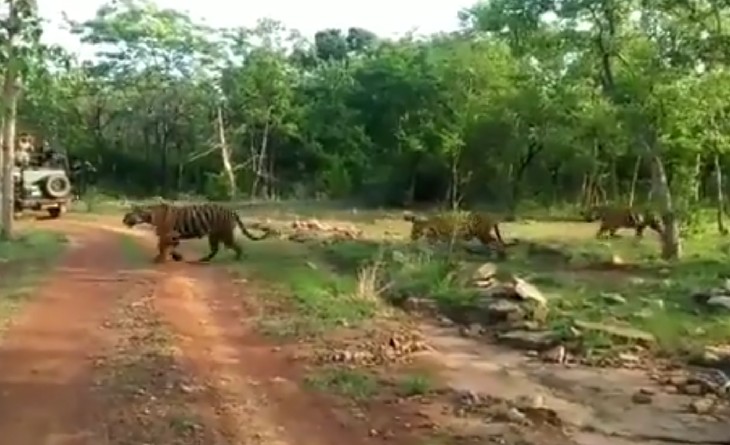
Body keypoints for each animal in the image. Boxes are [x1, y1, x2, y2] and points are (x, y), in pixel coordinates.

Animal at [122, 202, 272, 263]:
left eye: (128, 214)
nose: (123, 220)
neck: (150, 216)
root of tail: (232, 211)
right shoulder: (173, 236)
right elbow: (168, 247)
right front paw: (177, 257)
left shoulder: (168, 234)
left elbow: (161, 247)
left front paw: (160, 259)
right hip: (214, 235)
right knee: (215, 249)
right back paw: (204, 259)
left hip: (224, 234)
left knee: (236, 246)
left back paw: (238, 258)